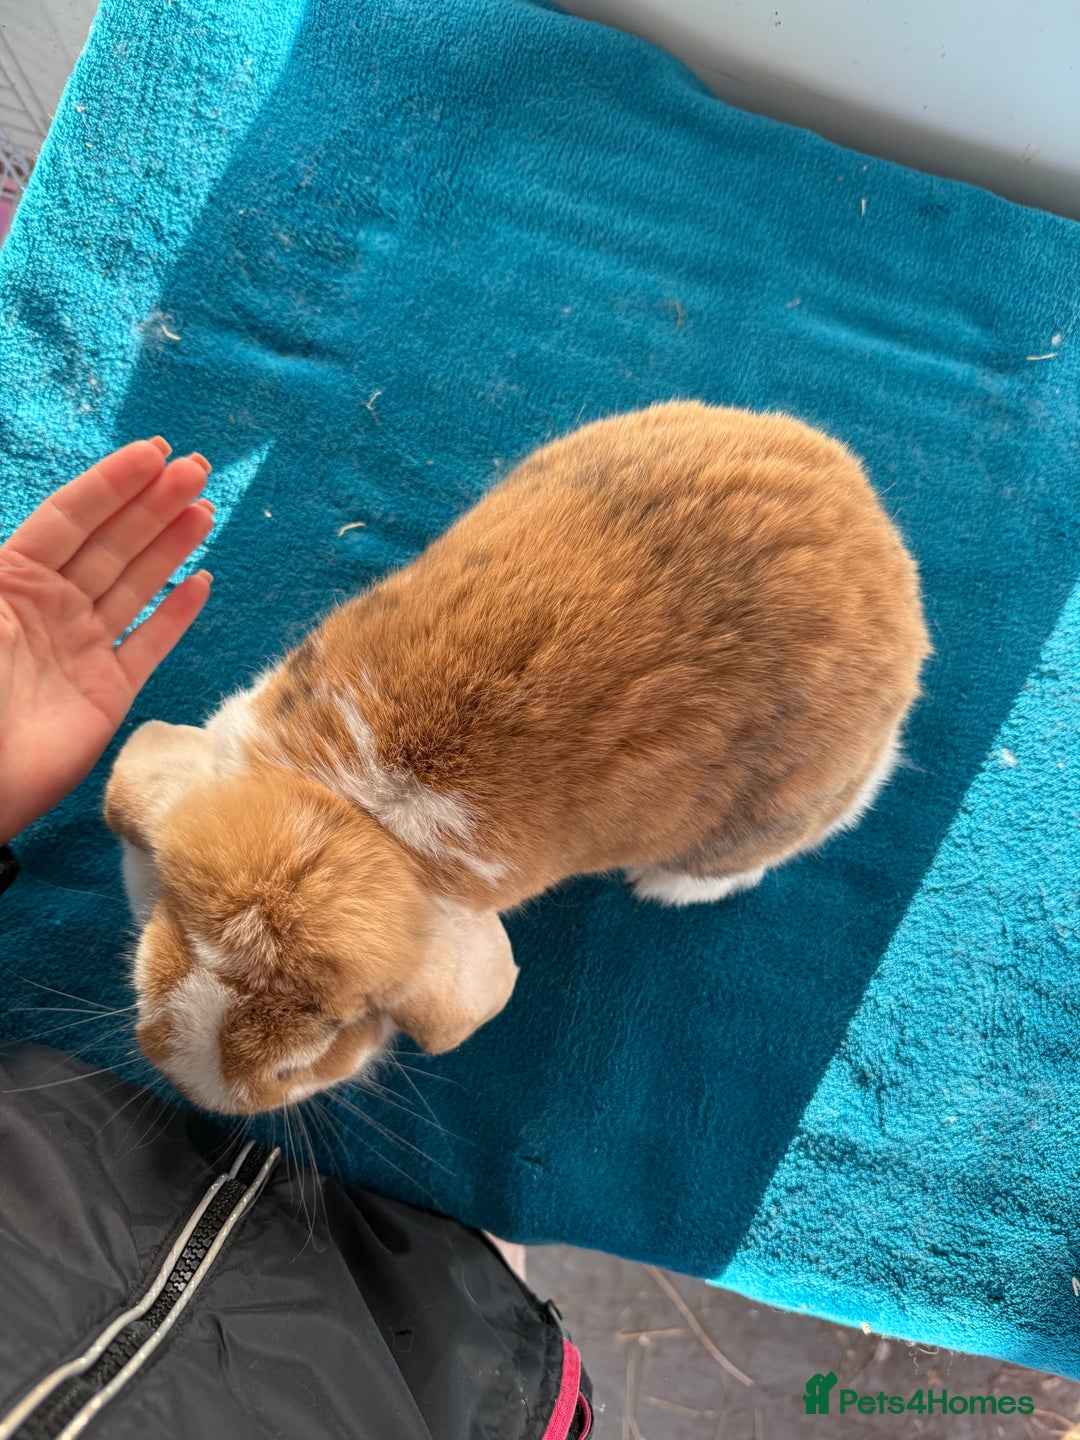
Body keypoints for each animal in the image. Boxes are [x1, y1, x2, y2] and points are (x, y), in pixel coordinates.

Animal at [105, 401, 930, 1115]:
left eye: (337, 1027)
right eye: (173, 925)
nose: (196, 1088)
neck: (350, 814)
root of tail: (882, 546)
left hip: (775, 815)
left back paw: (661, 884)